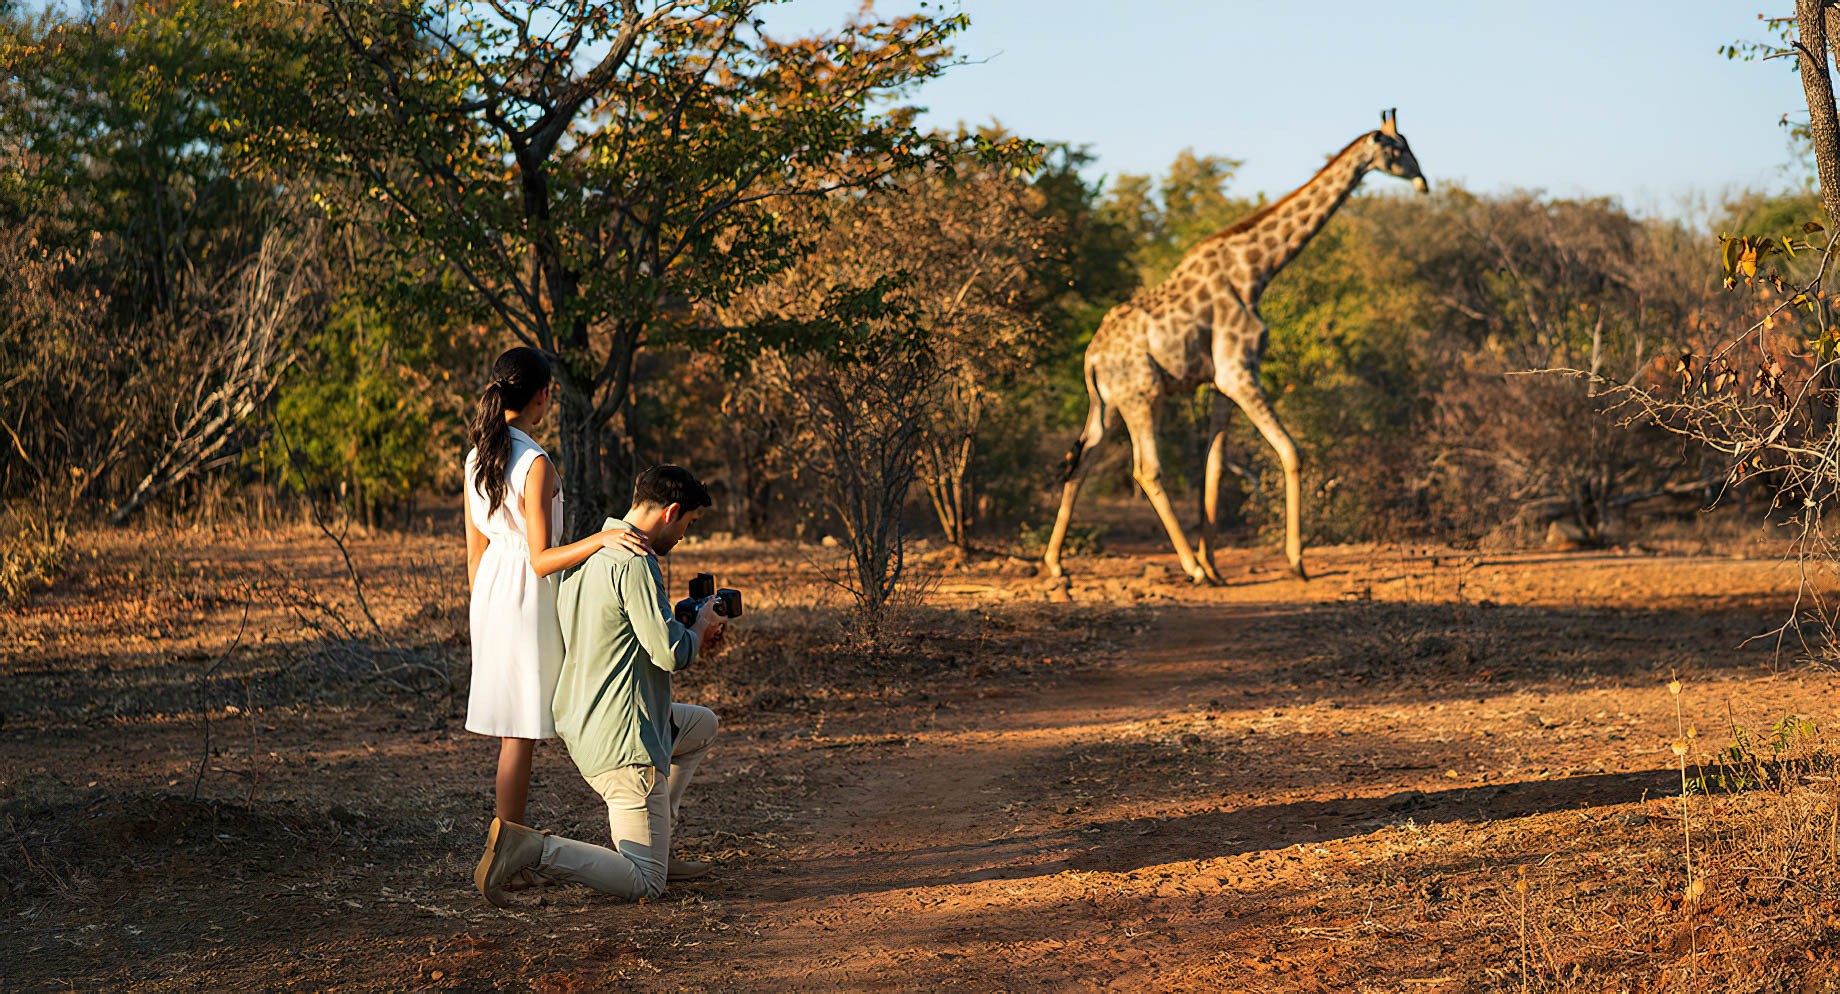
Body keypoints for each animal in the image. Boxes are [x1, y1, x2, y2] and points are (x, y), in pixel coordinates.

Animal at [1044, 109, 1428, 585]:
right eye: (1399, 147)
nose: (1423, 180)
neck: (1256, 272)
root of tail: (1091, 357)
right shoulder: (1238, 370)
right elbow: (1291, 450)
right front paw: (1295, 562)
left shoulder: (1220, 381)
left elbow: (1214, 465)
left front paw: (1216, 562)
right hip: (1142, 394)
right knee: (1147, 470)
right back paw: (1191, 569)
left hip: (1106, 404)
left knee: (1082, 460)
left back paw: (1056, 564)